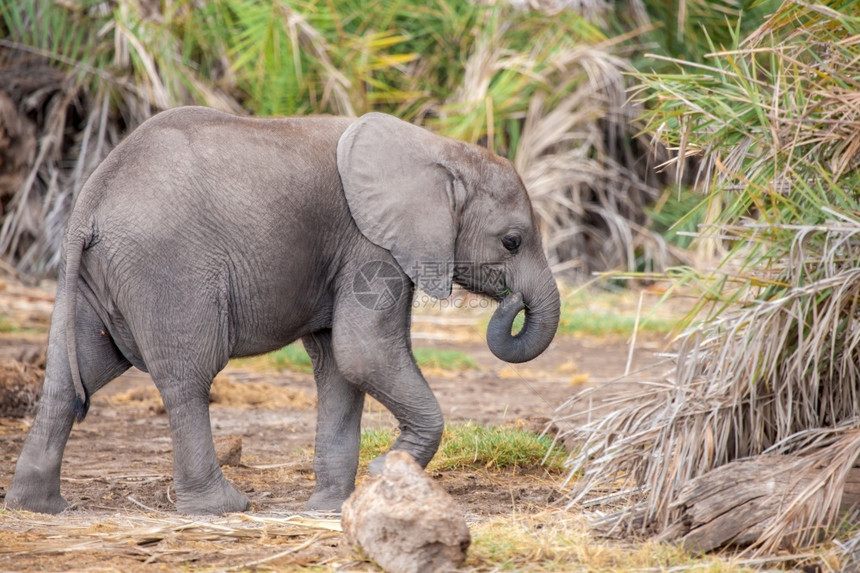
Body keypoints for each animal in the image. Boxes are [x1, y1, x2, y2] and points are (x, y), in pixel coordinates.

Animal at [5, 107, 564, 512]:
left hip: (92, 276)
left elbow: (341, 367)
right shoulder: (369, 247)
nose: (514, 301)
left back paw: (39, 506)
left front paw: (331, 506)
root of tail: (91, 199)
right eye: (512, 241)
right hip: (167, 268)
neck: (441, 151)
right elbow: (364, 354)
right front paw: (386, 473)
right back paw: (221, 508)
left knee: (72, 376)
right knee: (188, 377)